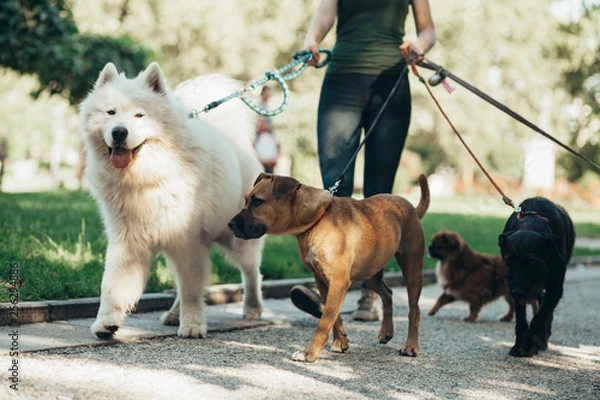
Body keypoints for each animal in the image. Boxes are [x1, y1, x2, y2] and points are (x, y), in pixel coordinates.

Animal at [79, 61, 264, 338]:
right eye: (110, 112)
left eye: (140, 115)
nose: (119, 132)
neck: (148, 176)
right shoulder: (128, 240)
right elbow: (112, 285)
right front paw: (106, 322)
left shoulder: (187, 240)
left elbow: (192, 290)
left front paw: (192, 325)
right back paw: (174, 314)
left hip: (235, 239)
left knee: (251, 272)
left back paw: (252, 307)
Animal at [227, 172, 428, 362]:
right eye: (246, 200)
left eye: (257, 202)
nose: (230, 225)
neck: (316, 220)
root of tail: (411, 208)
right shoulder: (323, 281)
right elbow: (333, 316)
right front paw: (340, 342)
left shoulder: (338, 282)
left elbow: (324, 322)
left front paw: (309, 352)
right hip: (371, 273)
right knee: (388, 294)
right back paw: (386, 332)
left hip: (412, 271)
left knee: (414, 310)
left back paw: (411, 346)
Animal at [496, 197, 576, 356]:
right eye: (509, 261)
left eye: (533, 262)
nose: (518, 291)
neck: (530, 224)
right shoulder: (514, 289)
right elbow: (521, 320)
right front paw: (518, 345)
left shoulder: (555, 289)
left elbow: (540, 317)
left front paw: (529, 344)